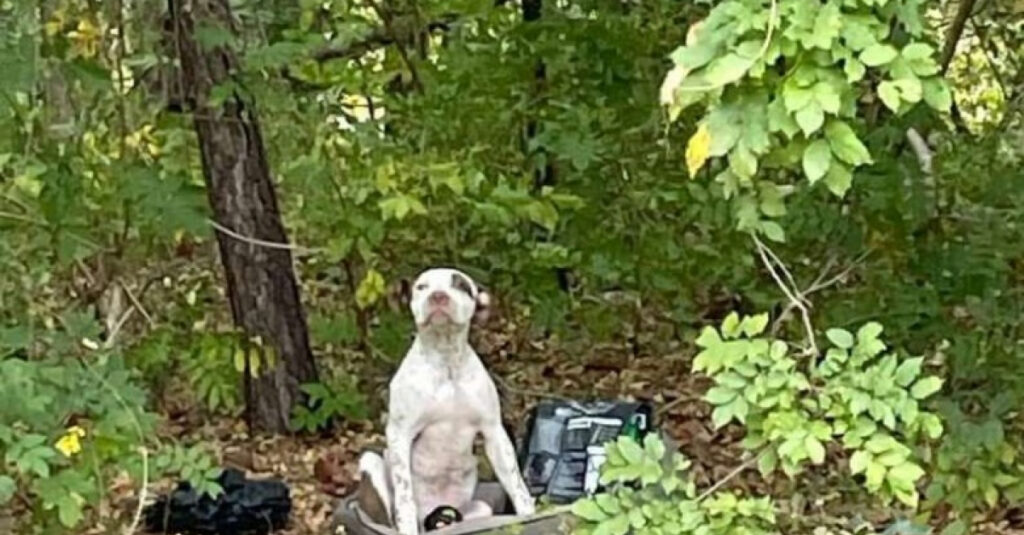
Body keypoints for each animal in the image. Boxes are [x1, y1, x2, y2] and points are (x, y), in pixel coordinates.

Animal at [356, 268, 536, 528]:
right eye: (421, 287)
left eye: (461, 286)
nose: (438, 296)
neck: (446, 359)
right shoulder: (400, 433)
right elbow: (404, 495)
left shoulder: (494, 431)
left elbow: (516, 483)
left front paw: (528, 514)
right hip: (371, 463)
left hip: (475, 510)